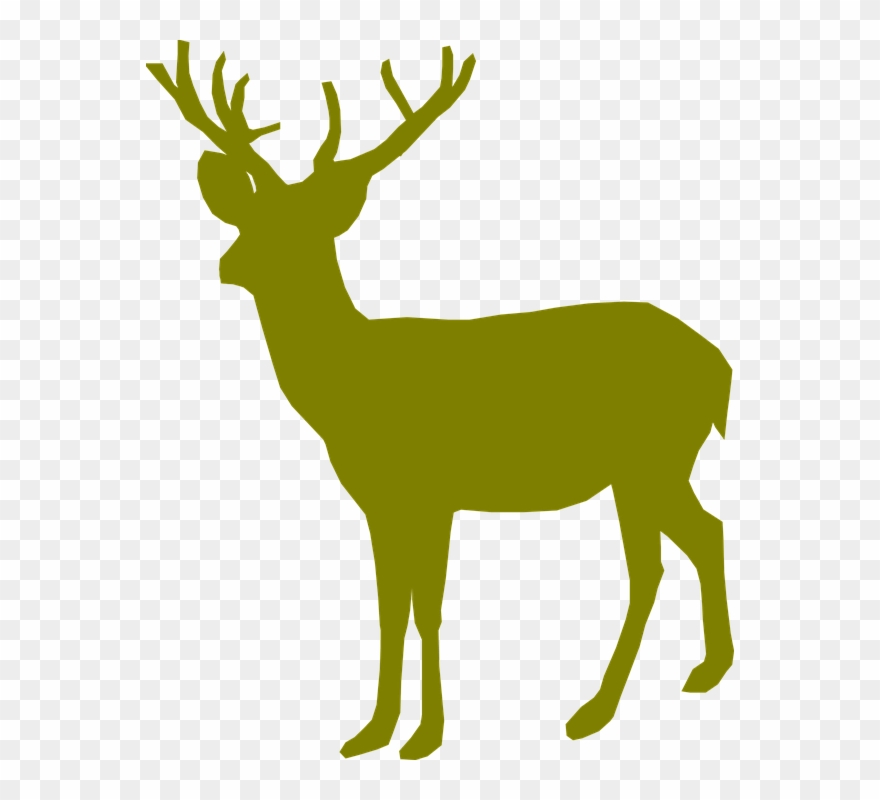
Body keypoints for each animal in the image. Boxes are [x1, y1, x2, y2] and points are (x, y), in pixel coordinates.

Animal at [146, 40, 735, 760]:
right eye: (253, 215)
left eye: (307, 226)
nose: (230, 264)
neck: (349, 388)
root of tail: (720, 367)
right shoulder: (382, 501)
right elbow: (390, 608)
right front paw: (371, 731)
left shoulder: (432, 489)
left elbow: (426, 607)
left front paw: (425, 735)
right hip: (659, 465)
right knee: (705, 533)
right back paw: (704, 670)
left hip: (647, 459)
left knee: (652, 564)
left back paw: (593, 710)